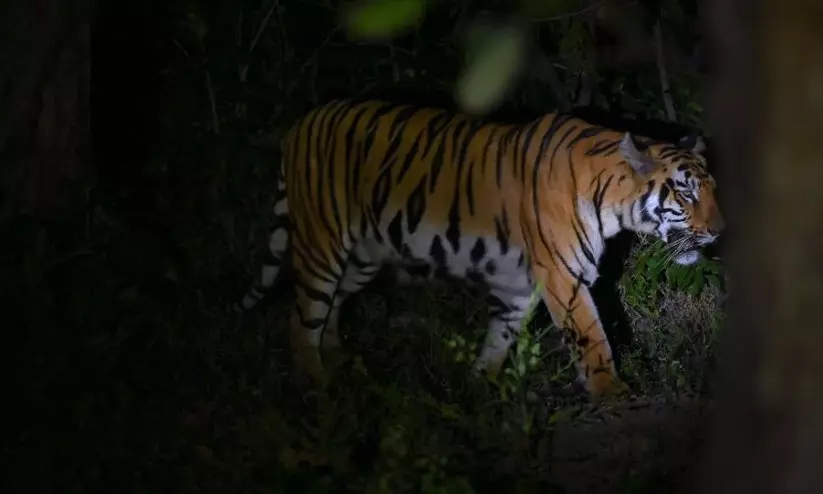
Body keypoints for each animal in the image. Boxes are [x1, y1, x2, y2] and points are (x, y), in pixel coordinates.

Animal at [236, 98, 724, 399]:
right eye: (686, 194)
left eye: (711, 190)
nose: (719, 231)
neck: (613, 200)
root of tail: (299, 125)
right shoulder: (564, 278)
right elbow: (592, 338)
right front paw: (612, 391)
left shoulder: (521, 287)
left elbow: (499, 337)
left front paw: (478, 386)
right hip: (322, 246)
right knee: (301, 321)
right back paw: (317, 386)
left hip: (363, 255)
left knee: (334, 305)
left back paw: (340, 363)